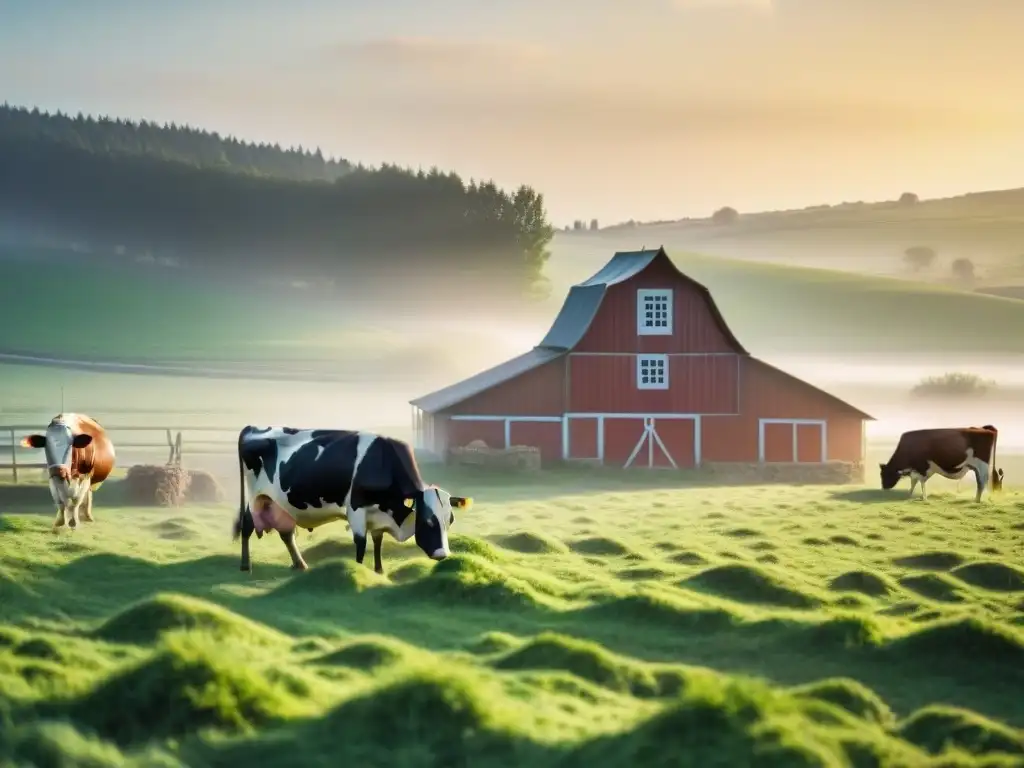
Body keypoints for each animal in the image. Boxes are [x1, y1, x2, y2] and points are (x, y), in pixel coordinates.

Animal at [232, 428, 471, 577]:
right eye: (428, 521)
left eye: (449, 521)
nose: (443, 555)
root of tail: (254, 428)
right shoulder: (356, 509)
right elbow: (361, 543)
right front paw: (357, 570)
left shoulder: (378, 515)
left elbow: (377, 541)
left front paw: (379, 571)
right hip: (256, 497)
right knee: (247, 525)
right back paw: (245, 565)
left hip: (280, 504)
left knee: (286, 533)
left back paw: (300, 565)